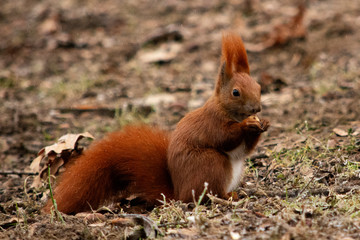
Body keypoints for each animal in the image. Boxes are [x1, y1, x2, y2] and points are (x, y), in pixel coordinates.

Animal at [43, 31, 268, 214]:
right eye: (236, 92)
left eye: (258, 87)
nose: (256, 108)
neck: (229, 111)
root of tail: (178, 193)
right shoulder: (211, 121)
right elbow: (224, 138)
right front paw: (247, 126)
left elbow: (246, 149)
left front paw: (263, 124)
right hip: (211, 164)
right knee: (203, 194)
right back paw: (226, 196)